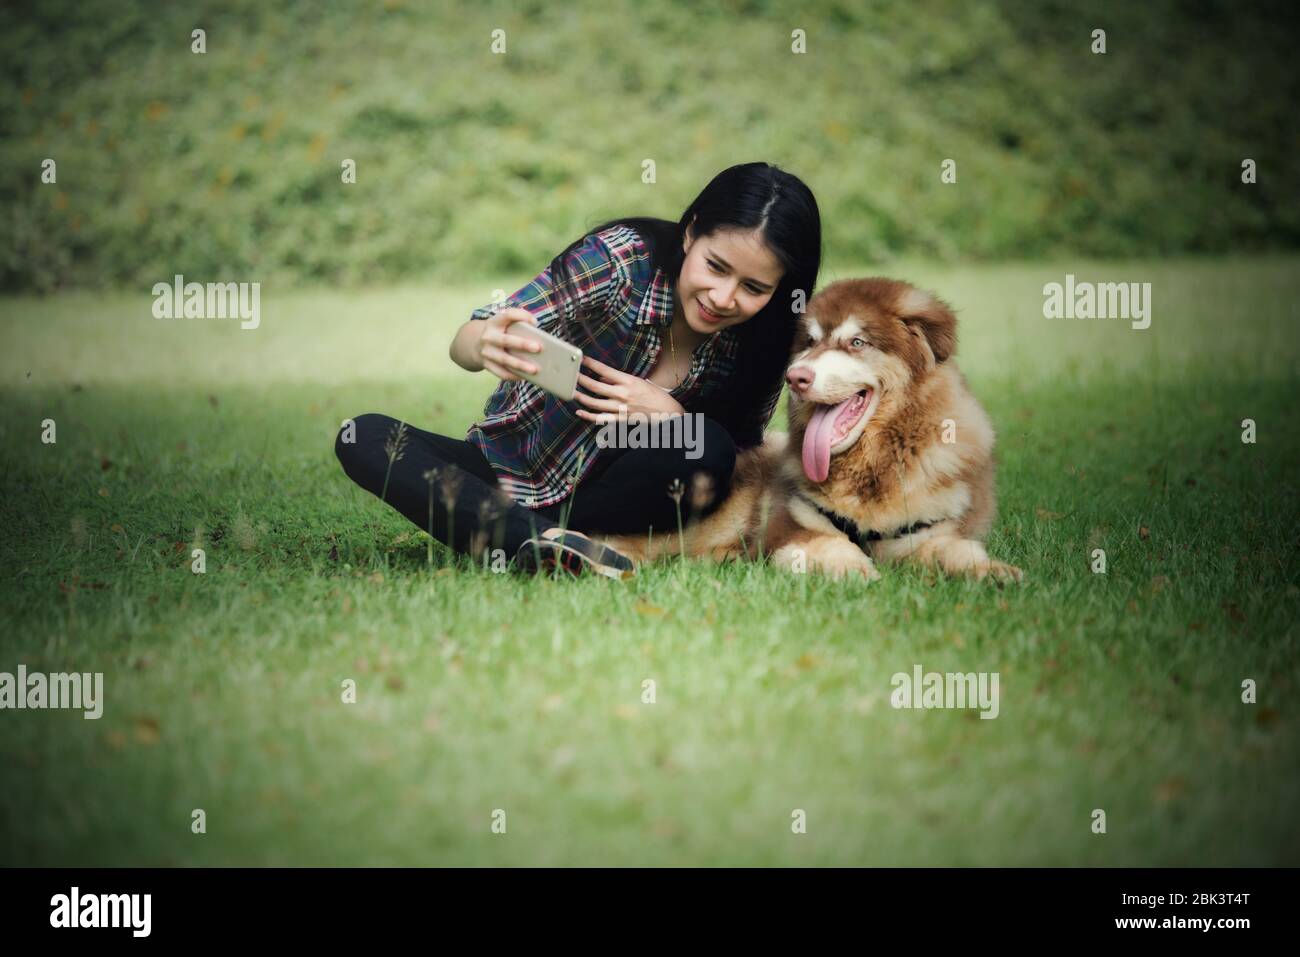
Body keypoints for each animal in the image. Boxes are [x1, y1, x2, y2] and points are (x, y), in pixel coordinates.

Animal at [595, 276, 1019, 582]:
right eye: (810, 342)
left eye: (857, 342)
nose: (795, 377)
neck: (872, 466)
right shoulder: (791, 526)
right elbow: (828, 546)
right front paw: (856, 569)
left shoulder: (927, 531)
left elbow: (954, 549)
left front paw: (992, 571)